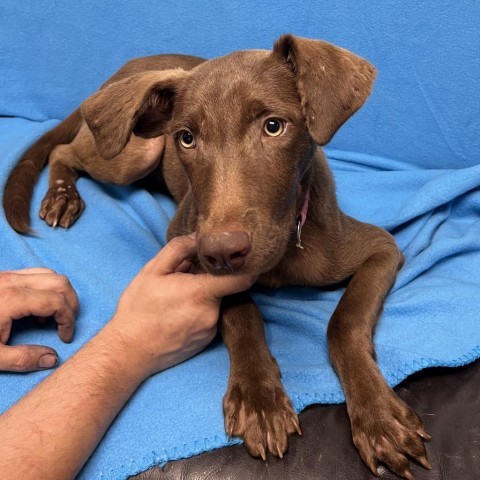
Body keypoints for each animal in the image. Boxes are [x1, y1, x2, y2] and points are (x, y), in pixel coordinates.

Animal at [2, 34, 432, 480]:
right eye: (187, 138)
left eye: (273, 126)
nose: (221, 251)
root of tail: (129, 67)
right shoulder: (186, 241)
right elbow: (240, 311)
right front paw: (258, 398)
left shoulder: (380, 248)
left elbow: (343, 322)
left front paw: (378, 417)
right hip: (132, 154)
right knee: (63, 151)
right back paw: (62, 196)